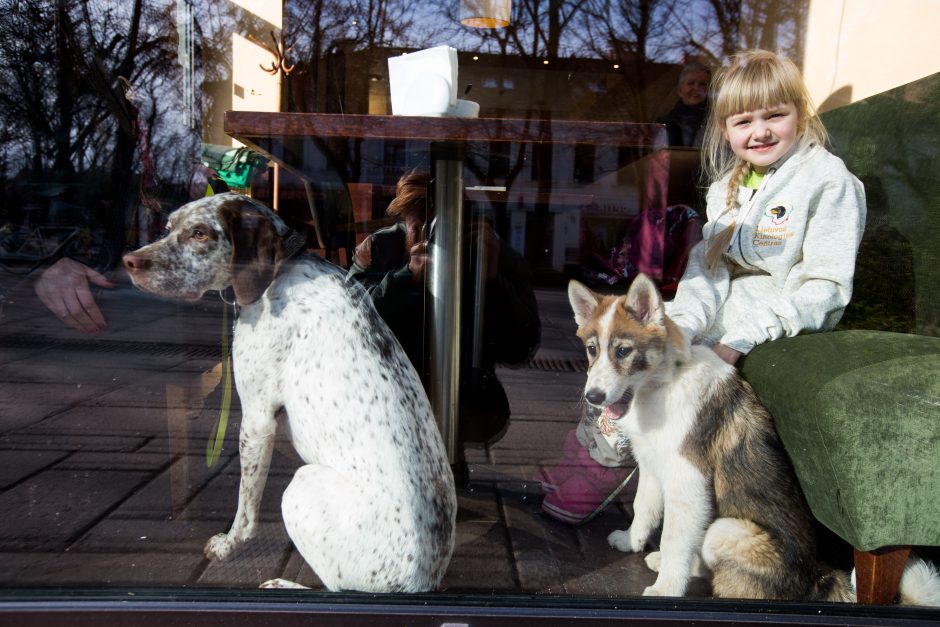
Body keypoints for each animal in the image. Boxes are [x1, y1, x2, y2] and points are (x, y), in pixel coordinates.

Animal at [124, 193, 456, 592]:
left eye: (200, 233)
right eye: (169, 226)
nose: (130, 261)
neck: (282, 269)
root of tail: (419, 587)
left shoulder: (256, 421)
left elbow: (245, 512)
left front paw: (227, 545)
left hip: (300, 485)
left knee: (338, 589)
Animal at [564, 276, 940, 608]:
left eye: (624, 351)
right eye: (592, 350)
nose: (593, 397)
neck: (662, 383)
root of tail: (816, 579)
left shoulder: (687, 480)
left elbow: (674, 537)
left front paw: (666, 590)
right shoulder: (654, 466)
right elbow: (645, 508)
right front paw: (631, 541)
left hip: (726, 529)